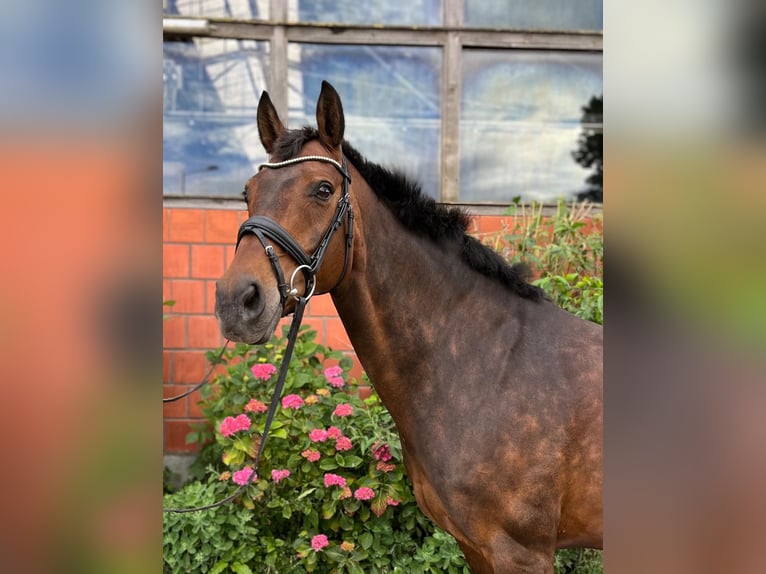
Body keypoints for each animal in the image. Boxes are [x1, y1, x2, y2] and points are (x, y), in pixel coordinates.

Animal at [216, 82, 608, 574]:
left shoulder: (522, 553)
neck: (487, 366)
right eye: (248, 191)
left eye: (323, 189)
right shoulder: (476, 547)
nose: (236, 300)